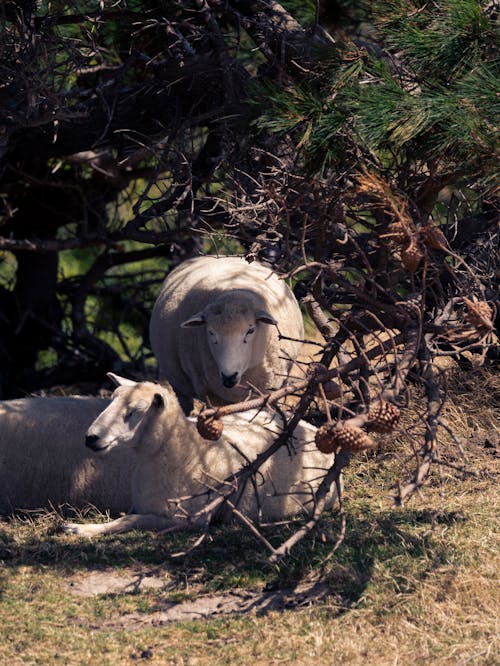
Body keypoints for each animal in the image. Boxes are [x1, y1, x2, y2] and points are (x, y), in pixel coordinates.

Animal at [63, 370, 336, 536]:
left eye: (135, 411)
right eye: (111, 400)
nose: (91, 438)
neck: (182, 453)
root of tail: (311, 426)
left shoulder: (190, 520)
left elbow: (131, 520)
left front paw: (80, 529)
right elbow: (124, 516)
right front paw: (82, 527)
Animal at [149, 254, 304, 410]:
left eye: (250, 330)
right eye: (211, 332)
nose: (229, 377)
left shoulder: (271, 392)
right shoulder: (213, 397)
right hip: (176, 383)